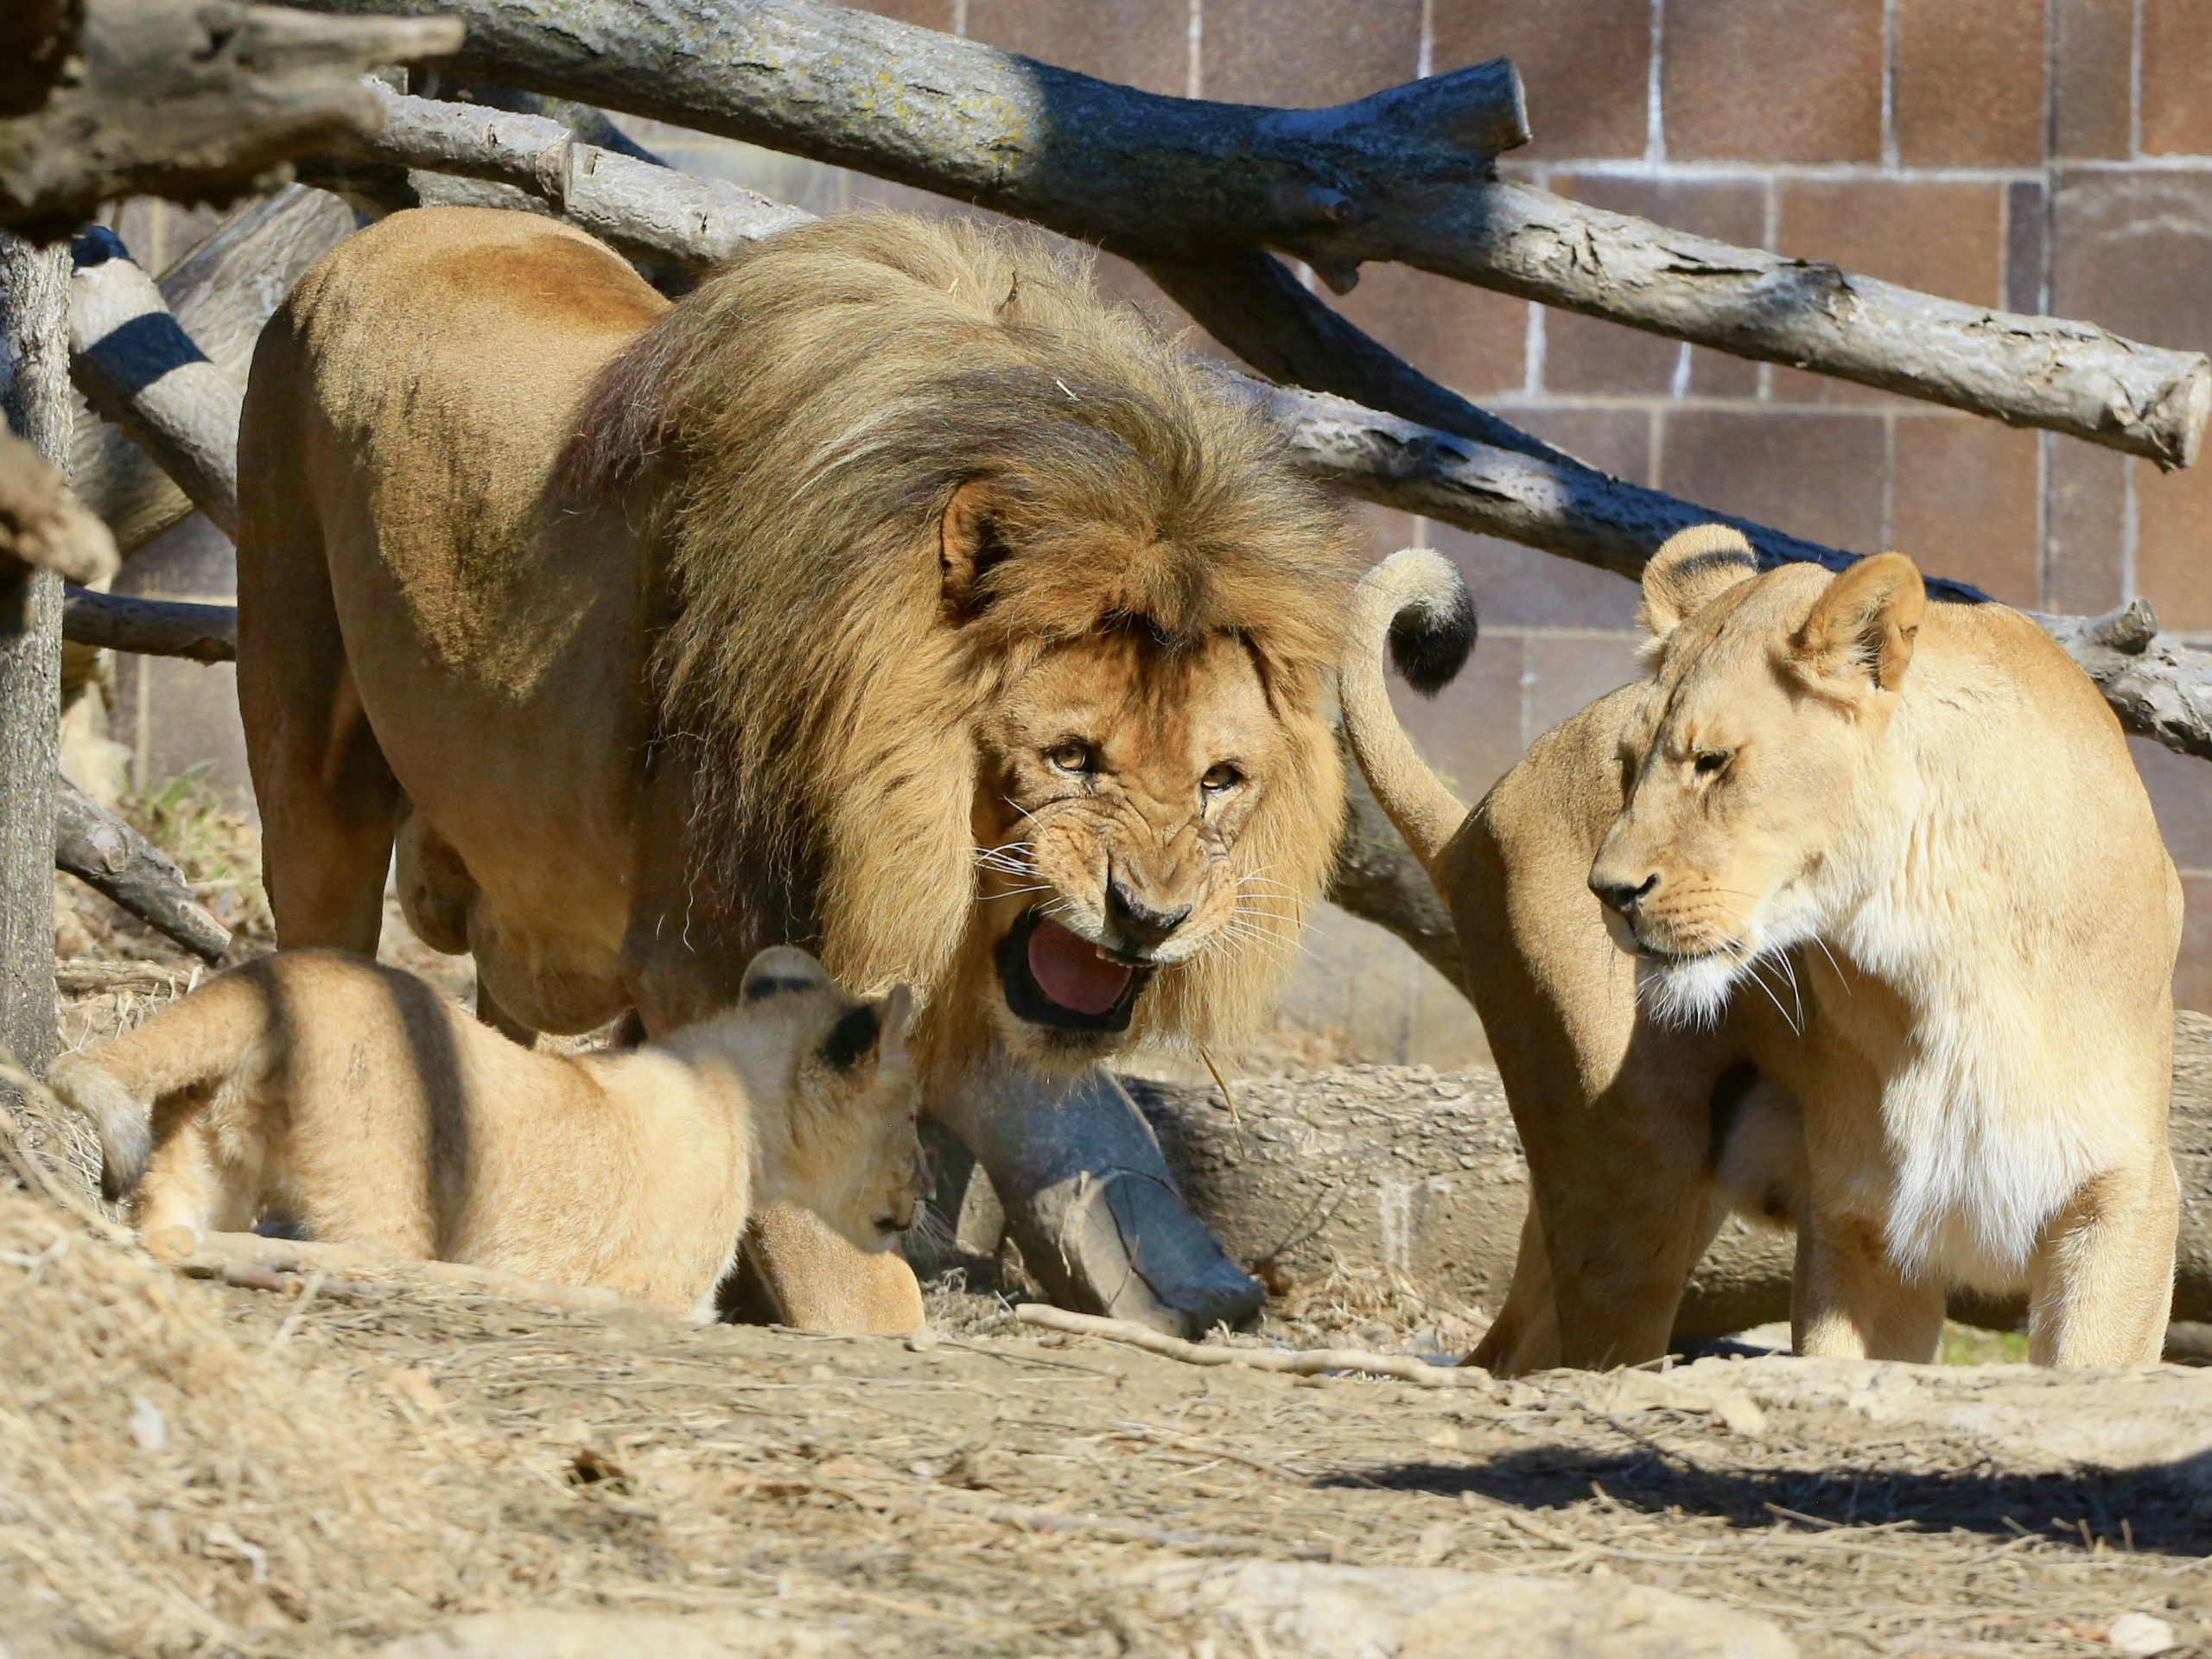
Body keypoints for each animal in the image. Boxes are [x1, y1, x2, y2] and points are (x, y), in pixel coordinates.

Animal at [48, 947, 923, 1318]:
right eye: (913, 1116)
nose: (923, 1193)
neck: (736, 1090)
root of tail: (269, 975)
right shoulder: (666, 1289)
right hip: (388, 1189)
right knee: (363, 1257)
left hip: (208, 1142)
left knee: (162, 1230)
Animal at [235, 206, 1358, 1333]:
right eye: (1070, 758)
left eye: (1220, 779)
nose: (1151, 918)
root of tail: (392, 227)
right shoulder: (697, 946)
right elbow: (837, 1252)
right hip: (305, 725)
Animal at [1347, 529, 2181, 1370]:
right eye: (1628, 765)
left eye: (1713, 761)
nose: (1608, 892)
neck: (1945, 946)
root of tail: (1475, 817)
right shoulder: (1859, 1218)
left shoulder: (2127, 1198)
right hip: (1621, 1178)